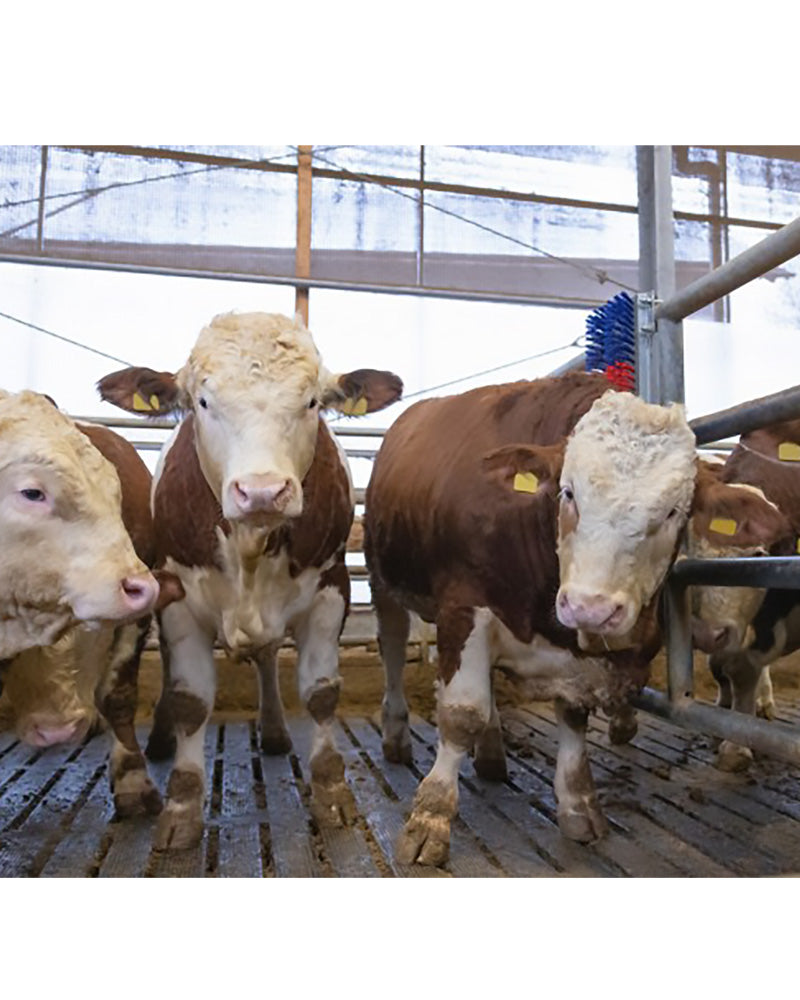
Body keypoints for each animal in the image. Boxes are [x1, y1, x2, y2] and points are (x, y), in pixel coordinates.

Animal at [97, 310, 402, 850]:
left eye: (311, 402)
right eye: (202, 402)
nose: (262, 491)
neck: (251, 547)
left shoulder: (332, 589)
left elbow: (320, 692)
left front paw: (332, 791)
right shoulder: (178, 597)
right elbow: (191, 699)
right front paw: (181, 805)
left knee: (266, 658)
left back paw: (275, 730)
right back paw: (159, 740)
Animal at [364, 371, 787, 866]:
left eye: (672, 512)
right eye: (568, 493)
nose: (591, 607)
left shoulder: (576, 655)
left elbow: (572, 714)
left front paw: (578, 804)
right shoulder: (464, 608)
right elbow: (462, 712)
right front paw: (430, 817)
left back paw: (491, 753)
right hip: (383, 582)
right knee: (393, 648)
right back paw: (396, 736)